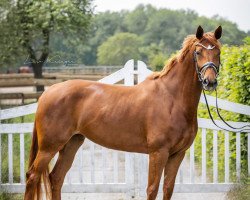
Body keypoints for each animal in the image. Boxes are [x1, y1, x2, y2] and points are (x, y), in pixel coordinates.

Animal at [23, 25, 223, 199]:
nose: (210, 82)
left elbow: (168, 188)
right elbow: (152, 189)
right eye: (198, 52)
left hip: (71, 143)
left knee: (56, 178)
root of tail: (48, 92)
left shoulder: (177, 154)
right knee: (32, 176)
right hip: (49, 147)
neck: (172, 99)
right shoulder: (158, 153)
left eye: (218, 52)